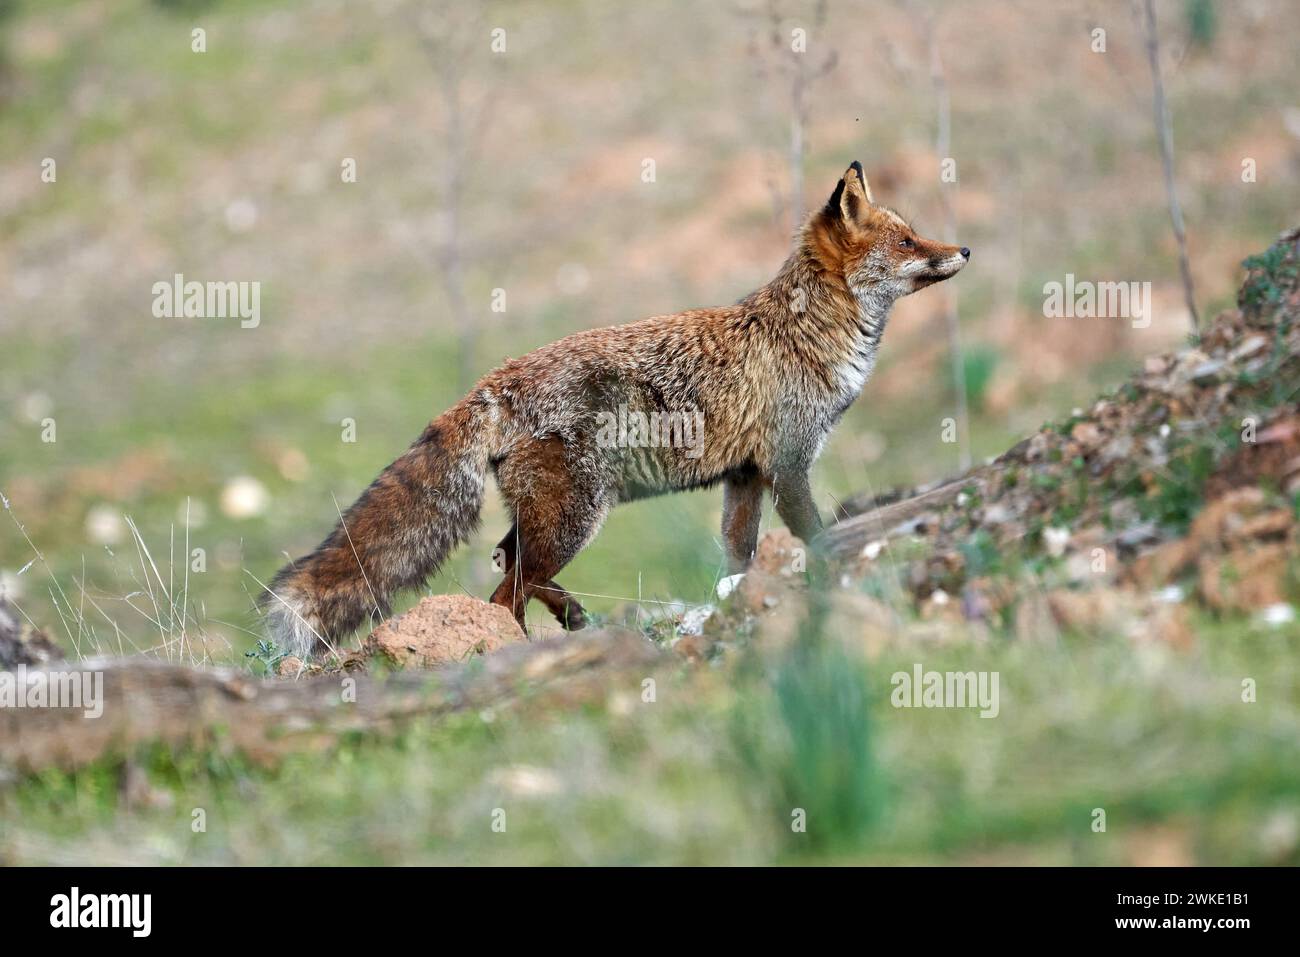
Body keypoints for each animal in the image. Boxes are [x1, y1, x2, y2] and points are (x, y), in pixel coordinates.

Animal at [263, 166, 972, 657]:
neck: (805, 333)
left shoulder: (745, 477)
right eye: (908, 239)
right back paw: (516, 649)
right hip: (574, 520)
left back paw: (569, 619)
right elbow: (816, 537)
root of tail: (493, 382)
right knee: (505, 591)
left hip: (549, 521)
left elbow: (738, 558)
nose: (964, 250)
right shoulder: (788, 463)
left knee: (504, 565)